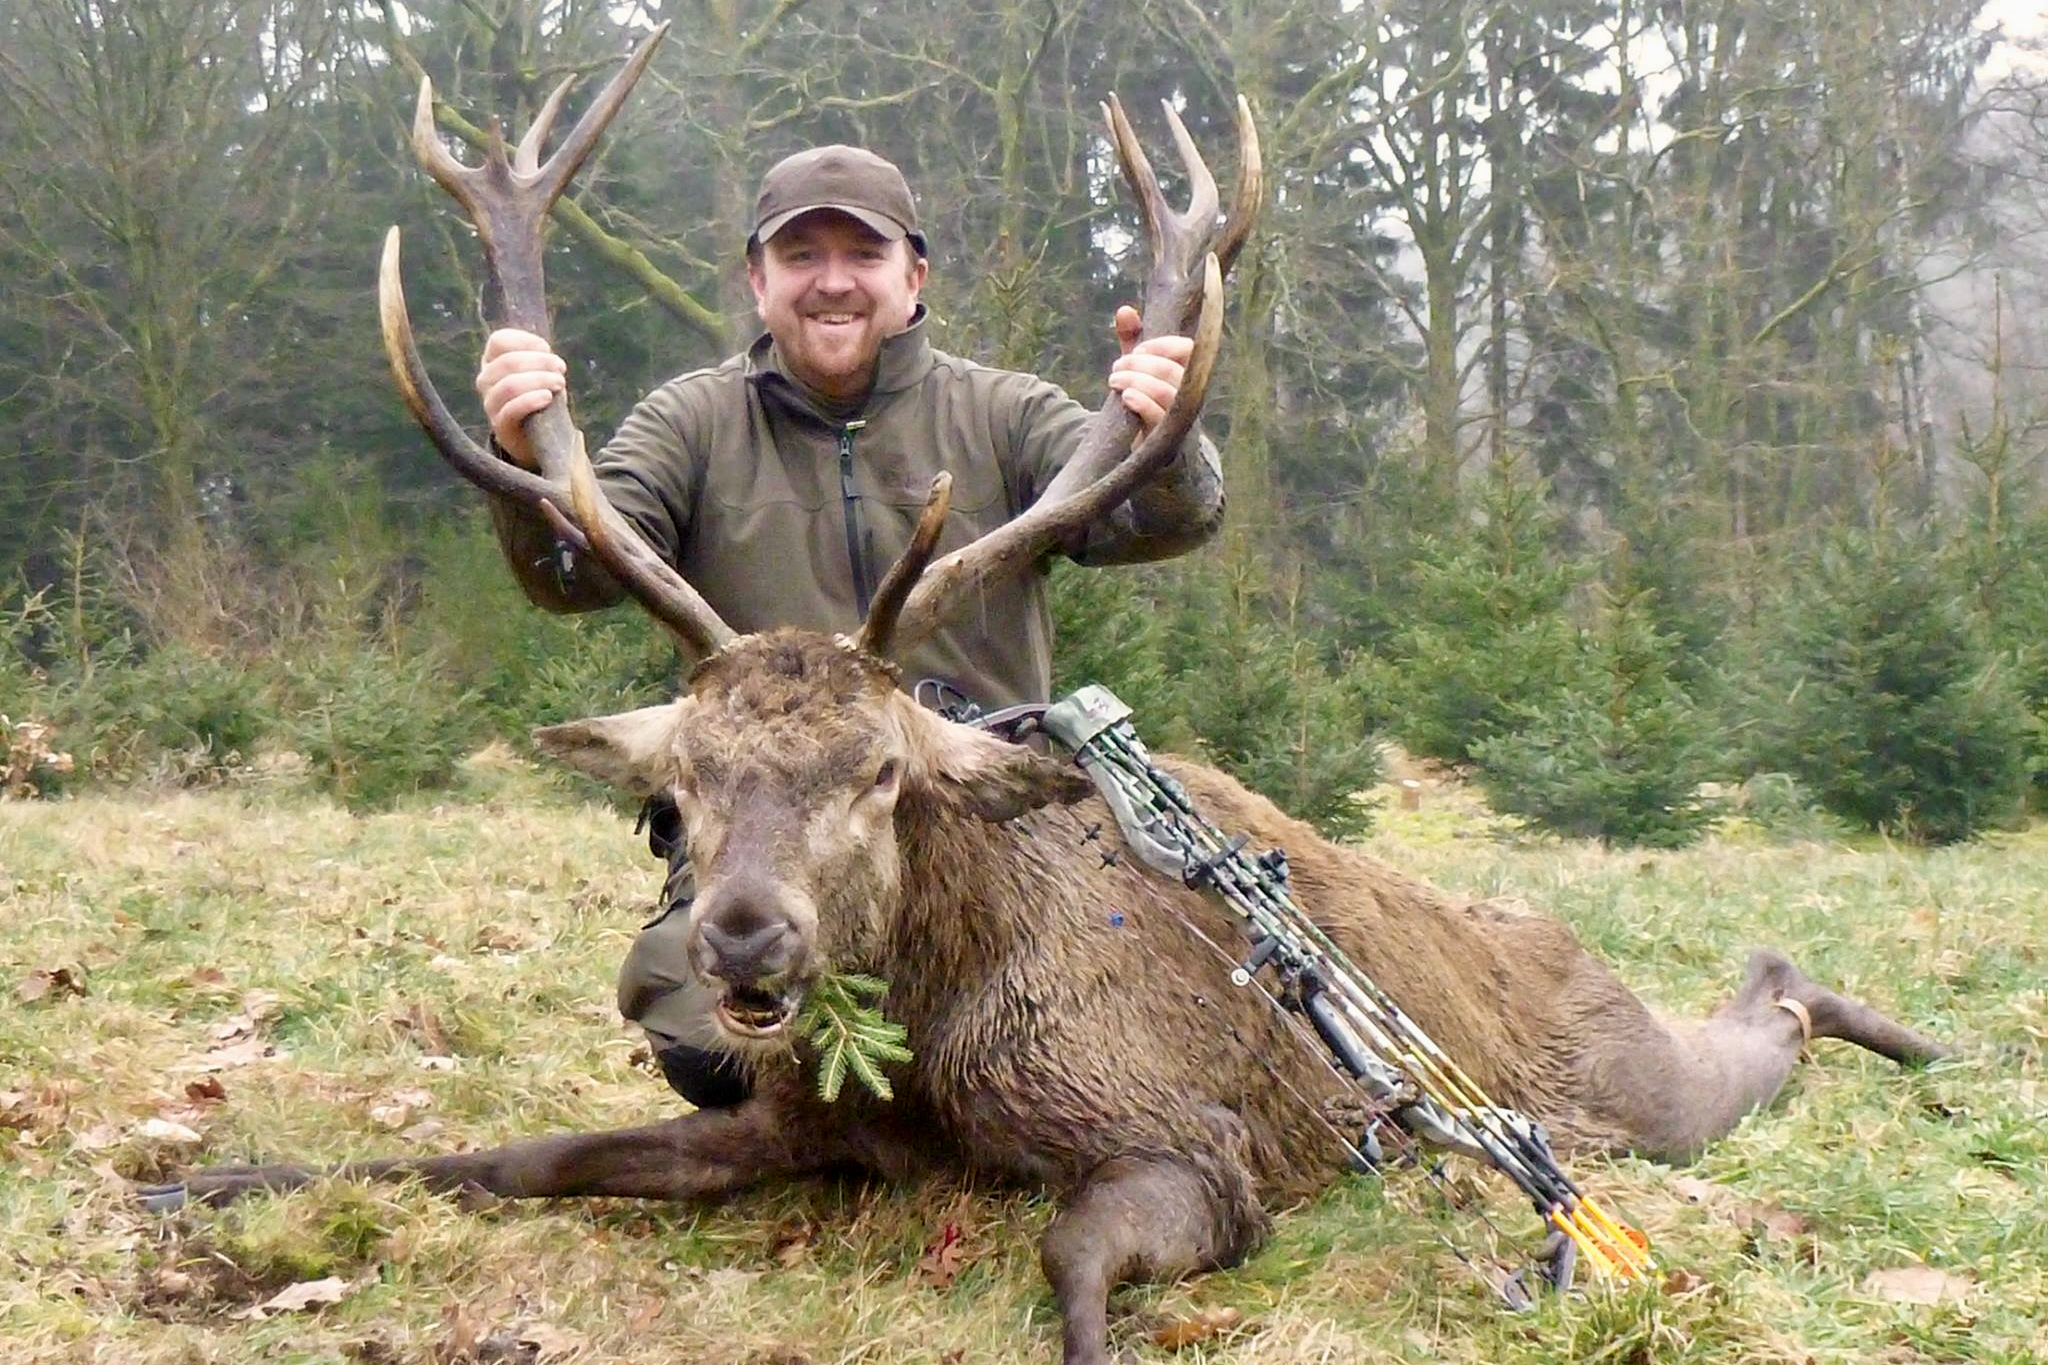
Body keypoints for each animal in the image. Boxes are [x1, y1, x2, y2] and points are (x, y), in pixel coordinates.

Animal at [141, 29, 1952, 1365]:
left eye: (882, 773)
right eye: (680, 788)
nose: (741, 940)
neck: (930, 1054)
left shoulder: (1187, 1134)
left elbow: (1071, 1265)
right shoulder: (766, 1119)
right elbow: (513, 1153)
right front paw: (209, 1180)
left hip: (1618, 1086)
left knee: (1753, 1021)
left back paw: (1894, 1024)